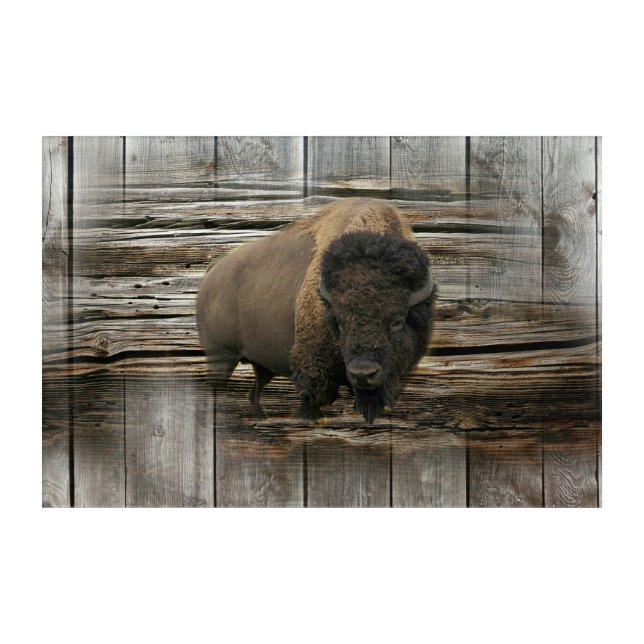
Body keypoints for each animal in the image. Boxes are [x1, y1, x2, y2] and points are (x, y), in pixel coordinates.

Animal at [196, 198, 436, 424]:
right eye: (338, 322)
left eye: (397, 322)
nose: (363, 374)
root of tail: (212, 271)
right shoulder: (314, 370)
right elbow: (313, 400)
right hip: (220, 358)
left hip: (257, 363)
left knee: (254, 391)